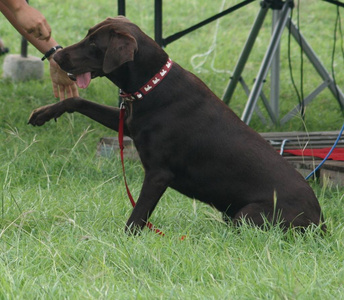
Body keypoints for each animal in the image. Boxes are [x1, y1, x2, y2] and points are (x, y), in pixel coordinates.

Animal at [28, 17, 326, 234]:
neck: (149, 85)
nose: (57, 57)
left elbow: (136, 216)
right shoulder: (127, 121)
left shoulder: (158, 174)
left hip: (247, 214)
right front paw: (44, 113)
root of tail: (321, 222)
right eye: (87, 35)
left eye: (93, 43)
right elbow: (77, 101)